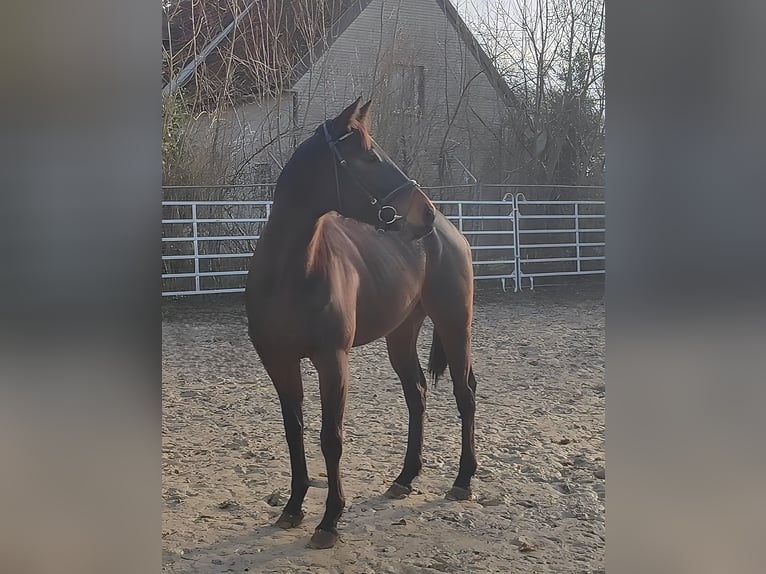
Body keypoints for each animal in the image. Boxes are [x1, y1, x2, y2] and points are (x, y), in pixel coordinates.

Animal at [245, 98, 478, 549]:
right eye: (370, 157)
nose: (425, 212)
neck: (291, 272)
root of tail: (450, 232)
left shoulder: (332, 360)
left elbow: (330, 438)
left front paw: (330, 520)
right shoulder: (278, 361)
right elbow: (293, 430)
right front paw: (293, 507)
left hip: (455, 324)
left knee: (466, 394)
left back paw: (463, 480)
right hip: (401, 334)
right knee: (417, 394)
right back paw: (405, 478)